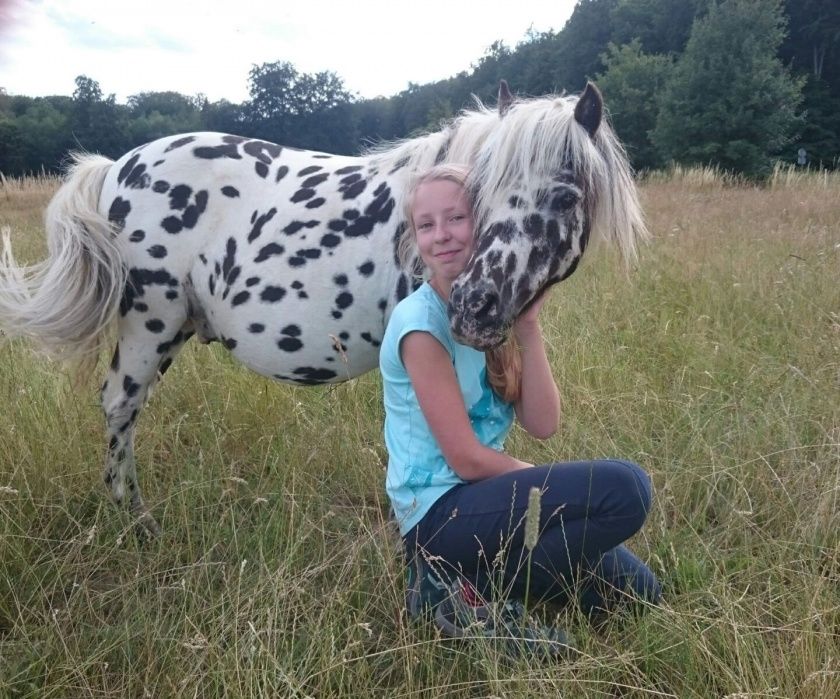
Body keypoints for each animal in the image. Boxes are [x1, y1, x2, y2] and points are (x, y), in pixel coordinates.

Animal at [0, 82, 644, 536]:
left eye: (564, 196)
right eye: (479, 193)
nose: (474, 306)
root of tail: (116, 166)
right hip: (148, 323)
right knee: (119, 408)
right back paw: (136, 521)